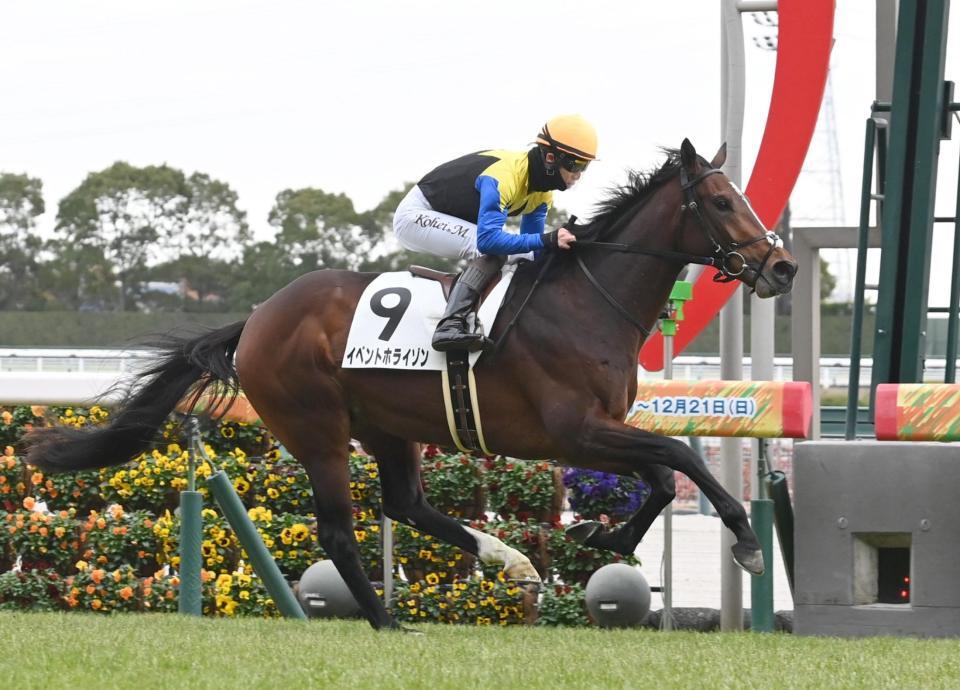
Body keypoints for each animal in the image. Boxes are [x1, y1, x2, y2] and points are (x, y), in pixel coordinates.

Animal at [27, 139, 797, 630]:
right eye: (722, 202)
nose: (783, 268)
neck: (586, 301)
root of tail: (259, 318)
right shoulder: (570, 429)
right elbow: (683, 456)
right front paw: (745, 541)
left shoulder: (595, 430)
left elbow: (665, 476)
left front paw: (600, 536)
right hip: (317, 427)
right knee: (340, 530)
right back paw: (387, 620)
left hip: (387, 427)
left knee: (405, 505)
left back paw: (509, 560)